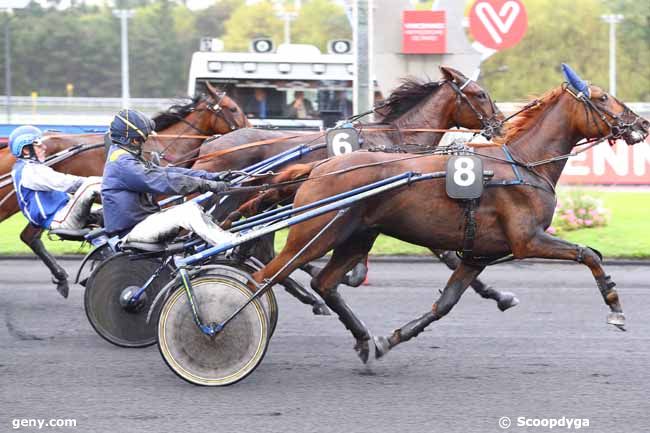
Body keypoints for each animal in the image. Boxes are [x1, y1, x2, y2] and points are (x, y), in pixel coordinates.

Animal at [248, 68, 644, 364]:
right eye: (602, 97)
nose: (641, 123)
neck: (522, 164)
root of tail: (318, 168)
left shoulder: (478, 253)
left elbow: (446, 303)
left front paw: (391, 339)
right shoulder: (527, 240)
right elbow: (588, 254)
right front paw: (615, 306)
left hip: (356, 236)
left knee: (323, 282)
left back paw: (360, 337)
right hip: (313, 234)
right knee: (265, 276)